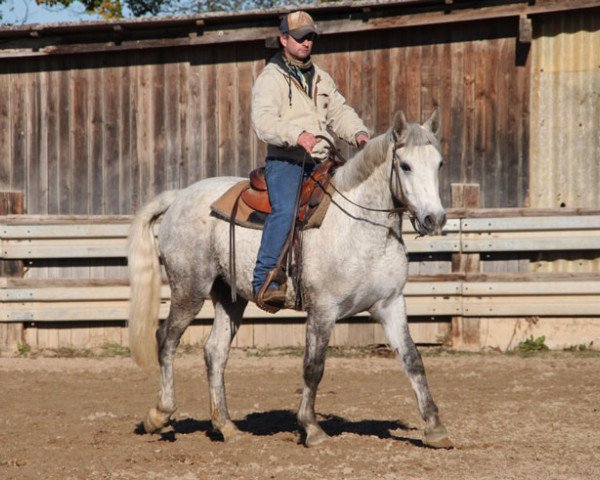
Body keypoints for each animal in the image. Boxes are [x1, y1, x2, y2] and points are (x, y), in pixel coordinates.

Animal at [129, 110, 452, 448]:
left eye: (439, 163)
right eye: (406, 165)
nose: (435, 219)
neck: (360, 227)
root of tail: (180, 196)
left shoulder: (390, 305)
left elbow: (413, 359)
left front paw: (435, 428)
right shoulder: (322, 310)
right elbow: (313, 367)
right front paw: (311, 427)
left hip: (229, 297)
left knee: (215, 352)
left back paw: (226, 426)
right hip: (189, 289)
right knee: (166, 340)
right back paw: (159, 415)